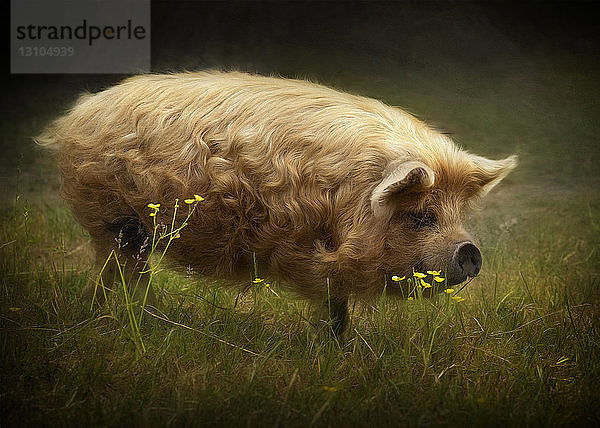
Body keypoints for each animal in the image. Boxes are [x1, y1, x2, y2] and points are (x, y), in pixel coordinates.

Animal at [37, 72, 516, 336]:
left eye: (458, 215)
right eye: (420, 216)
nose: (469, 250)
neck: (352, 202)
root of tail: (80, 112)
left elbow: (339, 308)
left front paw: (341, 350)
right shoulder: (313, 250)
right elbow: (331, 304)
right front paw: (329, 349)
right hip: (115, 220)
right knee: (114, 272)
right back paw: (111, 319)